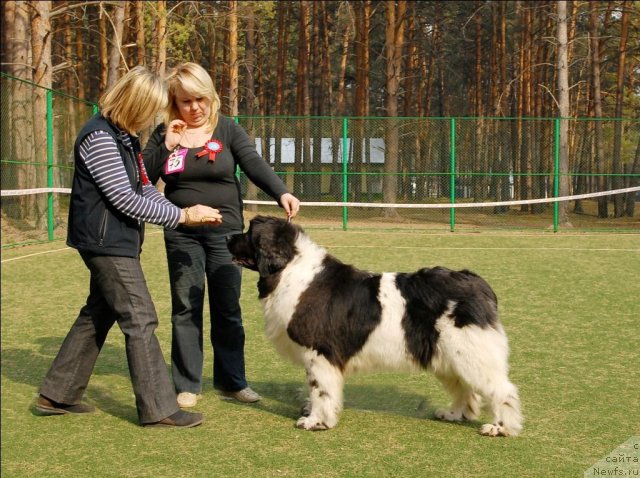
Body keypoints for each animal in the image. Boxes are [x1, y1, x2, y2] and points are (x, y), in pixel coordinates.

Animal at [228, 217, 524, 436]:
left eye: (248, 232)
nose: (229, 236)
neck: (290, 269)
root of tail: (475, 281)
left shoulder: (319, 353)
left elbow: (320, 389)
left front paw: (316, 421)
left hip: (471, 352)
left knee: (502, 389)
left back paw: (500, 428)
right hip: (448, 355)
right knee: (465, 388)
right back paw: (453, 414)